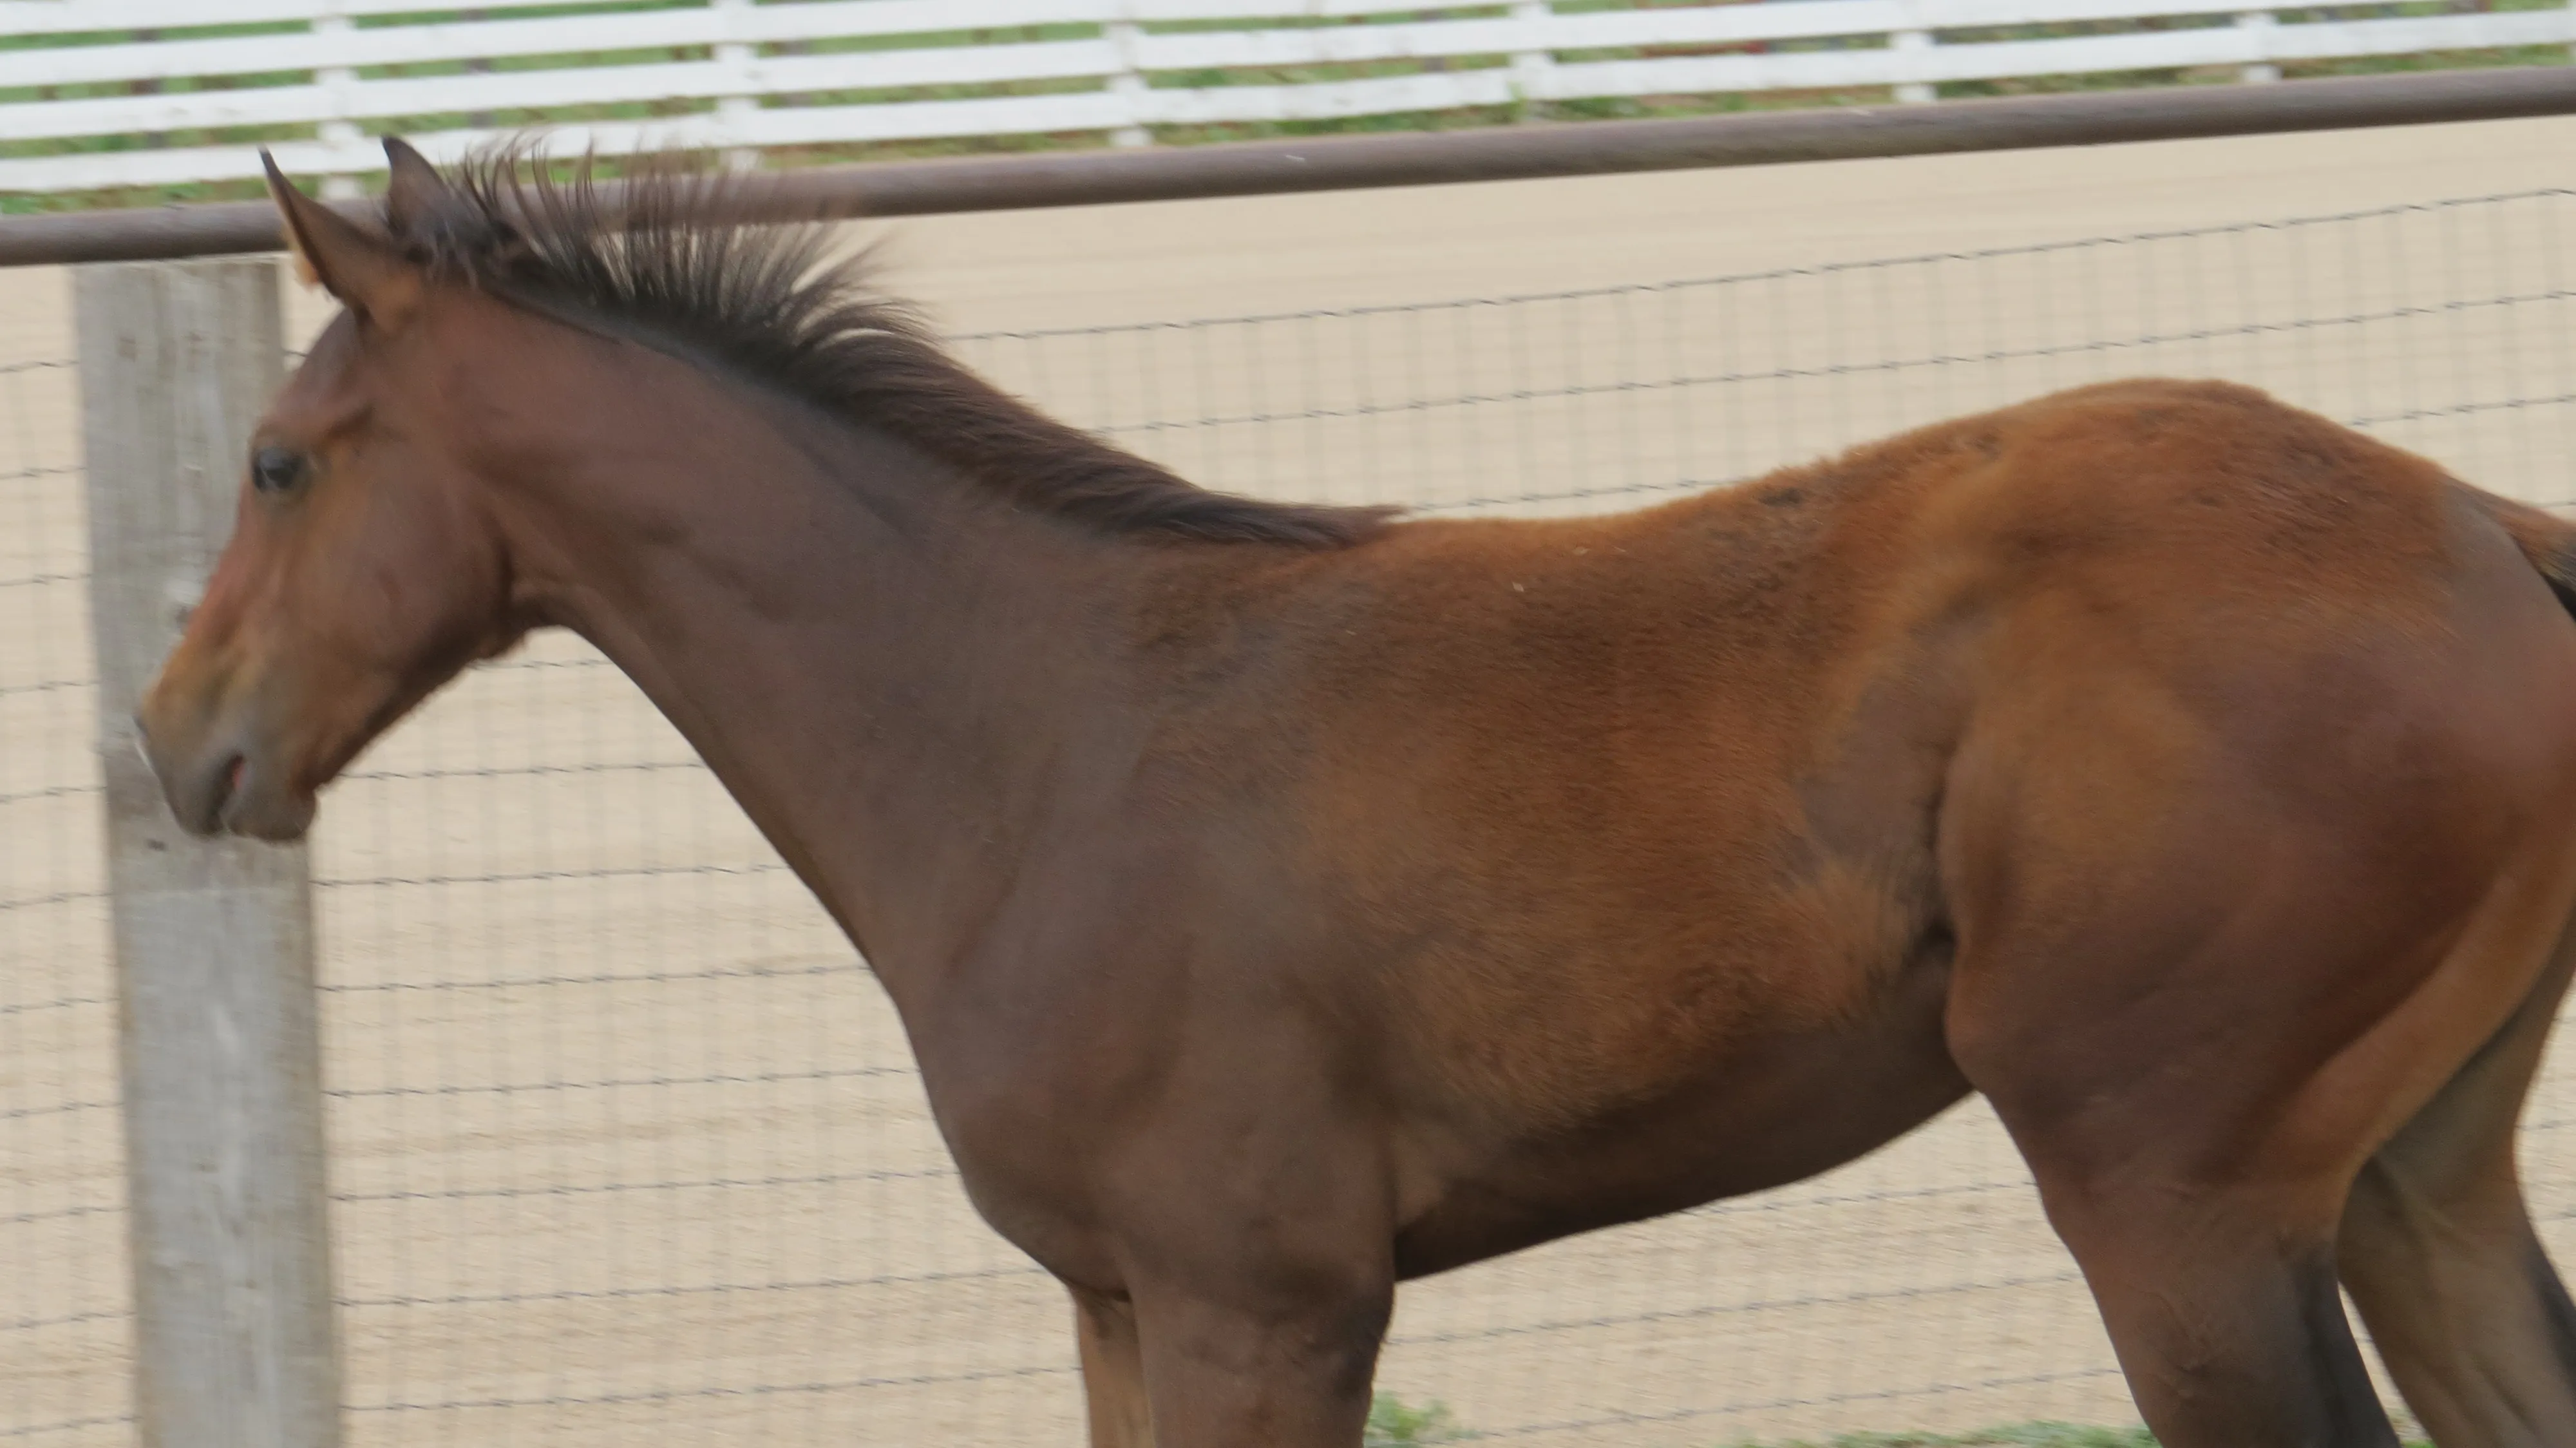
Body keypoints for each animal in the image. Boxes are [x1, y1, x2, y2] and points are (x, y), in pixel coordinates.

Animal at [134, 137, 2576, 1447]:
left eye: (281, 460)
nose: (171, 739)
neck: (1039, 727)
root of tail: (2484, 532)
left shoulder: (1264, 1293)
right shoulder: (1124, 1298)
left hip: (2172, 1189)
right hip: (2412, 1173)